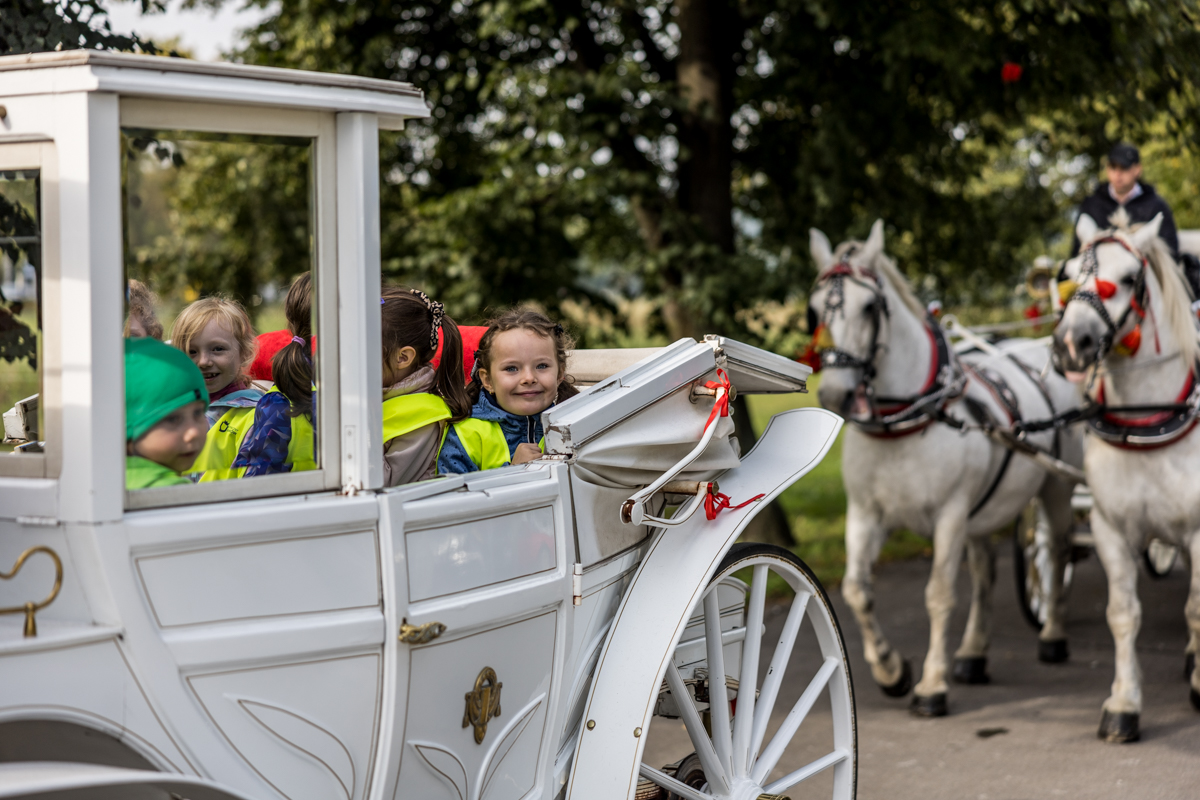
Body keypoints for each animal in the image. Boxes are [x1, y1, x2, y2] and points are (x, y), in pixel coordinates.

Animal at [806, 221, 1089, 714]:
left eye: (869, 307)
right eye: (816, 309)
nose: (835, 395)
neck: (906, 424)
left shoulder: (950, 515)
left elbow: (938, 594)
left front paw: (931, 686)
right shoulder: (865, 514)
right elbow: (857, 591)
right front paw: (891, 670)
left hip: (1054, 486)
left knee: (1056, 549)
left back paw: (1053, 633)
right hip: (983, 509)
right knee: (985, 571)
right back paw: (973, 653)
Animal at [1051, 209, 1200, 743]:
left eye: (1131, 278)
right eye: (1067, 272)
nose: (1070, 345)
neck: (1146, 415)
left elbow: (1196, 608)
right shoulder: (1109, 528)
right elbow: (1122, 615)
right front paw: (1123, 703)